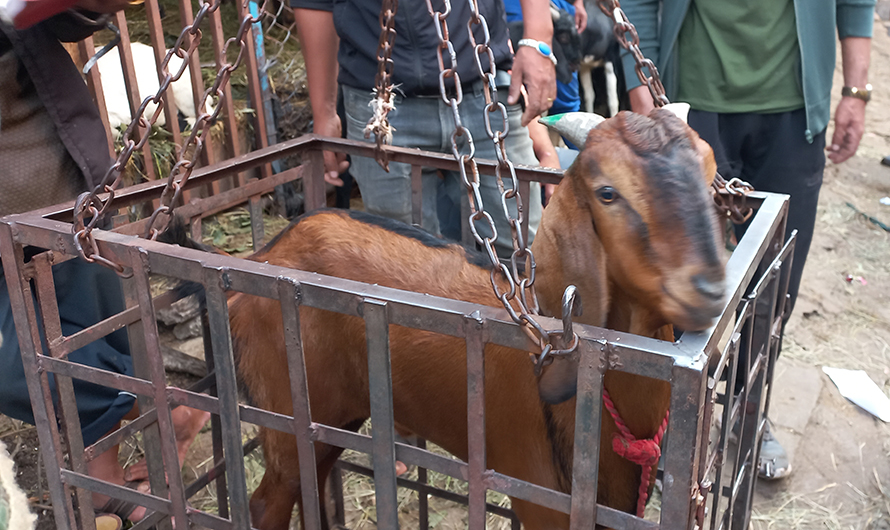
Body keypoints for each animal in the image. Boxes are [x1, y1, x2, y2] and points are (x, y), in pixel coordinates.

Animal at [222, 109, 720, 524]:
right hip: (286, 409)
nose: (709, 289)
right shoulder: (541, 497)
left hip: (331, 419)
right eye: (607, 193)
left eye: (710, 174)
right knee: (269, 500)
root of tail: (265, 254)